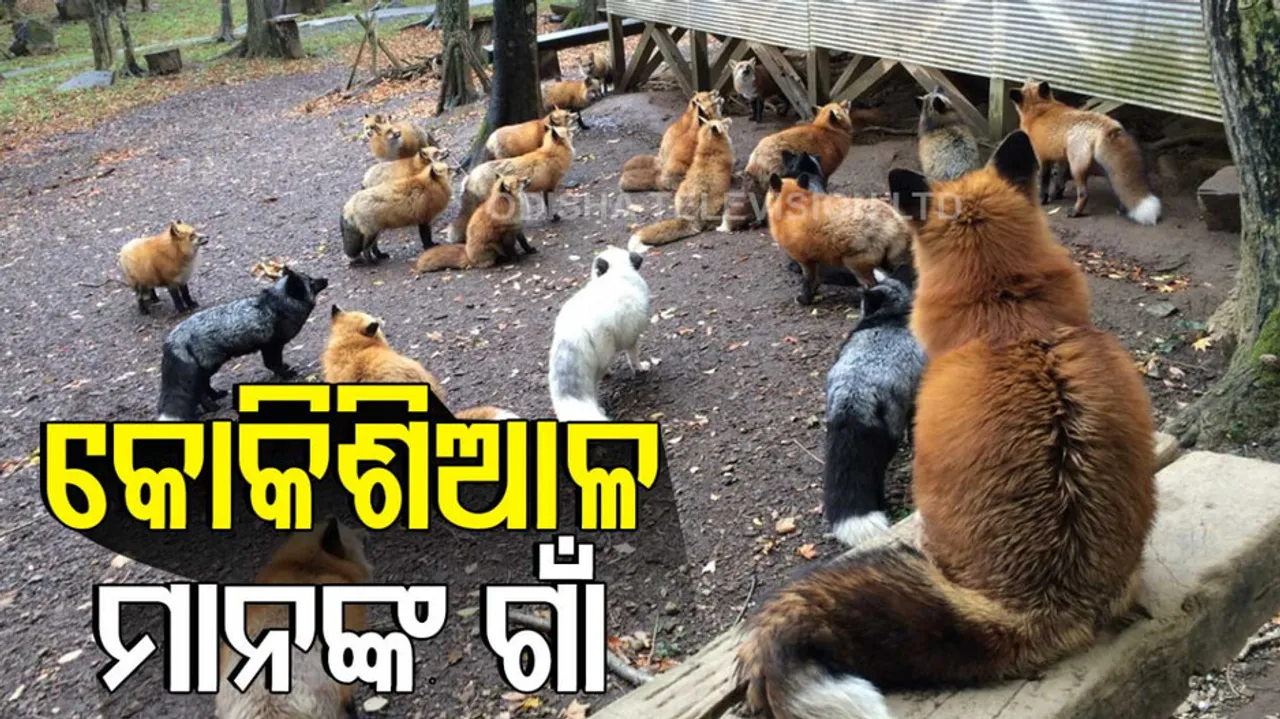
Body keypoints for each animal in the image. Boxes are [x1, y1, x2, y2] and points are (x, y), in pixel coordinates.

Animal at [157, 267, 328, 421]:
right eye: (312, 282)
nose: (326, 279)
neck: (278, 304)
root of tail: (174, 338)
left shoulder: (267, 347)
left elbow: (272, 364)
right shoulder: (272, 345)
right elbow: (273, 364)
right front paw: (286, 375)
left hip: (208, 367)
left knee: (204, 386)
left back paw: (216, 395)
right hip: (209, 366)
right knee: (200, 392)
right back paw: (211, 407)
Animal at [446, 125, 574, 245]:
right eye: (567, 131)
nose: (573, 128)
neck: (551, 154)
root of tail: (471, 175)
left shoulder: (543, 188)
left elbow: (544, 205)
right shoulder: (550, 187)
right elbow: (549, 206)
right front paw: (554, 218)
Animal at [548, 247, 651, 421]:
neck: (616, 275)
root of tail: (574, 330)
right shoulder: (632, 338)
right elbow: (633, 358)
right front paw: (640, 368)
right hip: (604, 357)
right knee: (594, 386)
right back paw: (600, 408)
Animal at [766, 172, 914, 305]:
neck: (790, 206)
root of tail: (894, 220)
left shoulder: (805, 260)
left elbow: (808, 282)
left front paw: (804, 300)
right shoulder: (819, 259)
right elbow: (817, 281)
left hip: (856, 265)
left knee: (873, 285)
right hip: (892, 262)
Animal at [1010, 79, 1161, 225]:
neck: (1040, 109)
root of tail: (1108, 125)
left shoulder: (1043, 158)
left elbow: (1044, 182)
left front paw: (1043, 200)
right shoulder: (1062, 159)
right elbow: (1059, 182)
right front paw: (1056, 195)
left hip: (1077, 169)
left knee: (1084, 194)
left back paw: (1075, 212)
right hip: (1101, 168)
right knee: (1121, 188)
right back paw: (1123, 209)